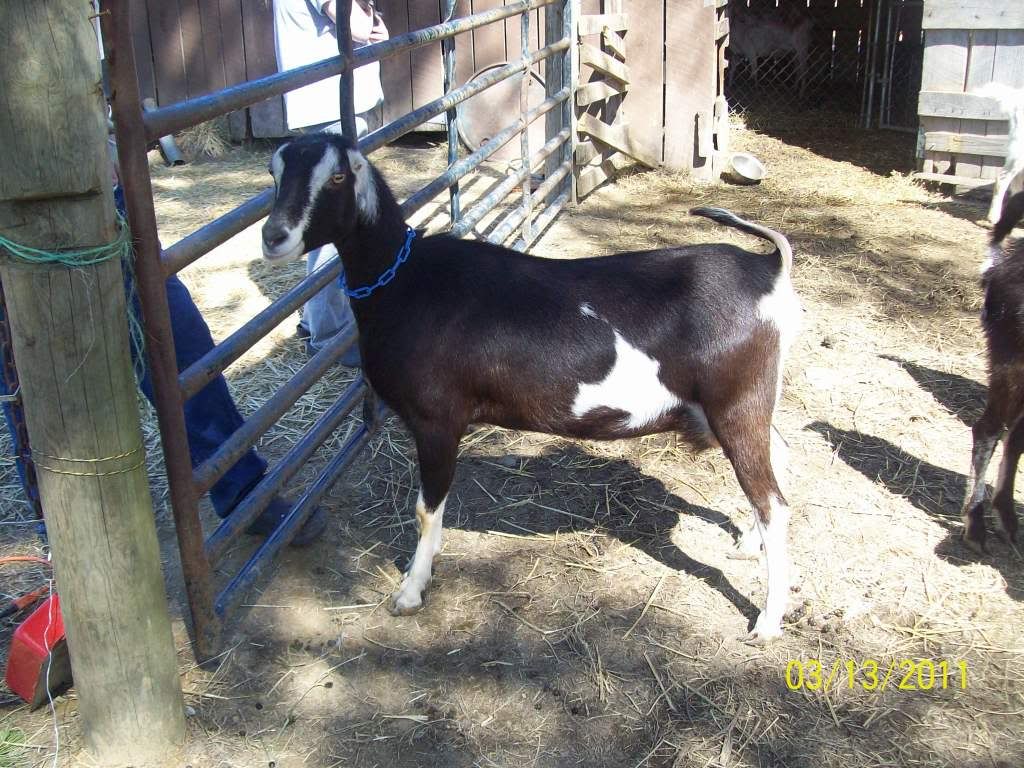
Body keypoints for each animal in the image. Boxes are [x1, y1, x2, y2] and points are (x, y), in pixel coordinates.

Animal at [262, 133, 802, 642]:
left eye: (337, 177)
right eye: (274, 171)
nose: (273, 235)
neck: (403, 281)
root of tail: (766, 270)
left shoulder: (437, 421)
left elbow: (424, 511)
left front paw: (411, 591)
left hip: (737, 403)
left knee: (773, 503)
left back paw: (767, 621)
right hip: (744, 404)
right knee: (776, 459)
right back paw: (747, 544)